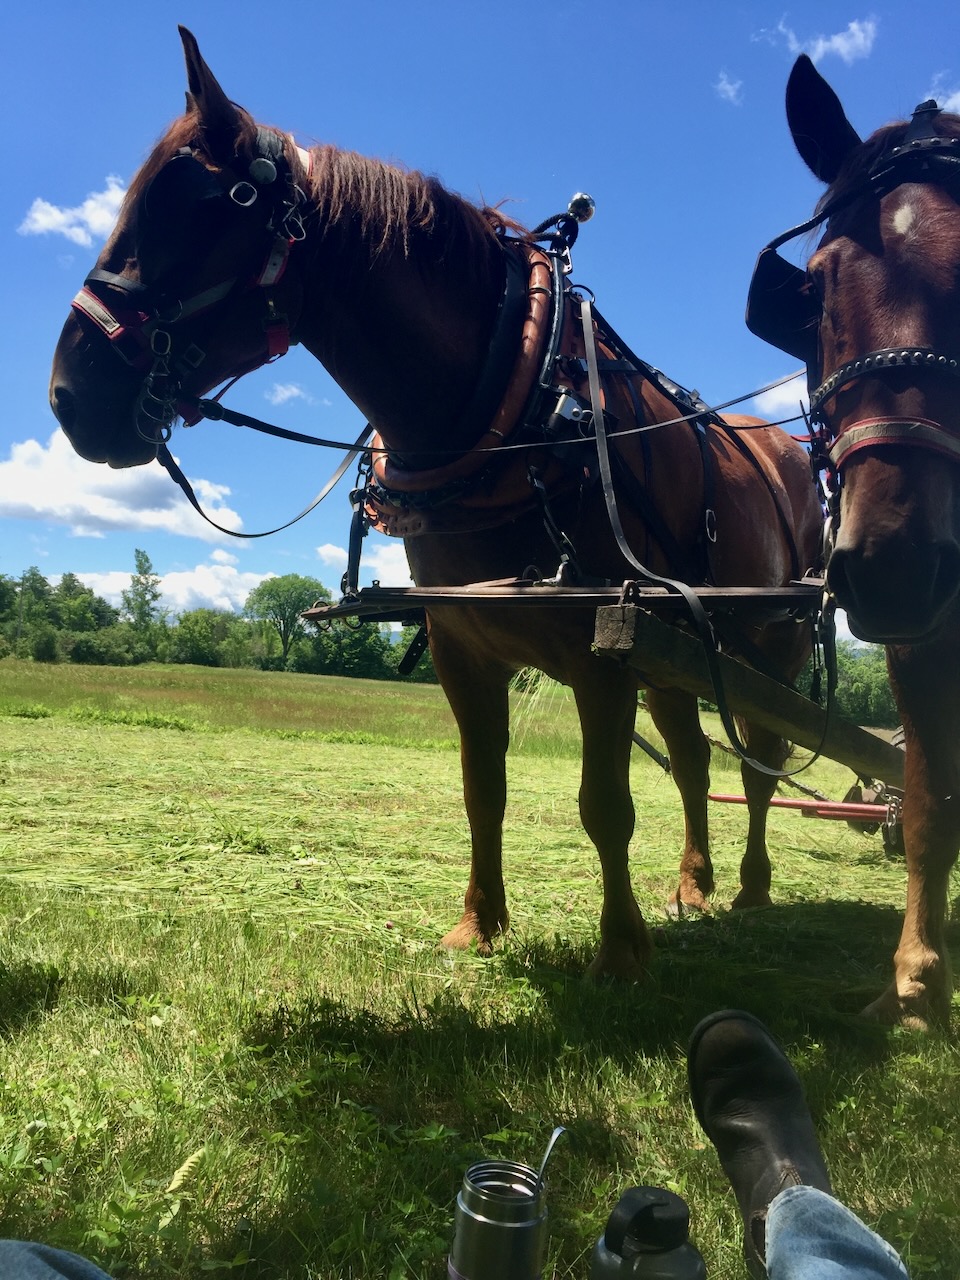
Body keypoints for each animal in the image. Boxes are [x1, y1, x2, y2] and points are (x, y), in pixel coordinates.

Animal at [50, 27, 822, 981]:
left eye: (189, 205)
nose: (67, 396)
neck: (525, 409)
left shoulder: (603, 652)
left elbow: (604, 804)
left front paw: (618, 949)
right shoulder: (464, 646)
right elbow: (481, 788)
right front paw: (479, 924)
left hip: (771, 646)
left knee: (761, 758)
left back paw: (750, 886)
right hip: (674, 651)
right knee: (690, 759)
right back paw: (696, 881)